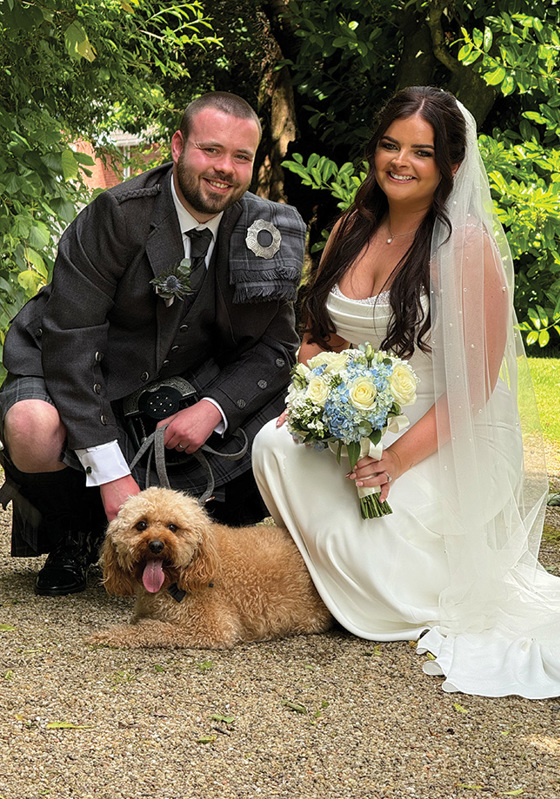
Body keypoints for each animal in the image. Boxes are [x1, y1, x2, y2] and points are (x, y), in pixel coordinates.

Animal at [89, 488, 330, 648]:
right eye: (141, 525)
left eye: (173, 527)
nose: (156, 545)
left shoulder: (212, 628)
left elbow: (152, 628)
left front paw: (112, 634)